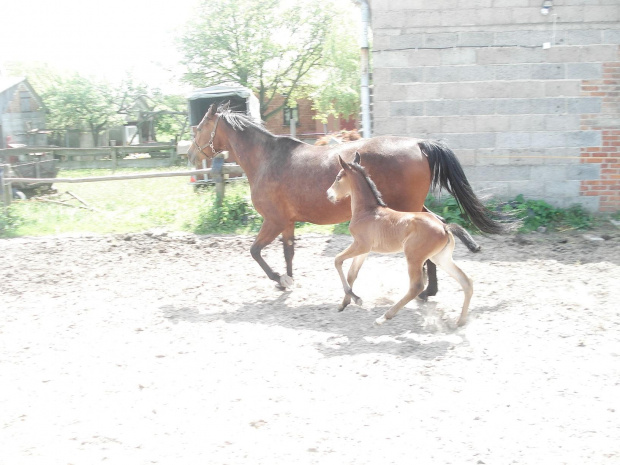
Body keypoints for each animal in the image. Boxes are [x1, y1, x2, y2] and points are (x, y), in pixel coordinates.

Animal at [186, 103, 502, 294]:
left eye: (199, 127)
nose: (190, 154)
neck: (267, 159)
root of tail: (419, 144)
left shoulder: (272, 220)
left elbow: (254, 251)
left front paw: (280, 279)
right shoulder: (287, 221)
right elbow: (288, 252)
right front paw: (287, 280)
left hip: (407, 209)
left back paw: (426, 290)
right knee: (439, 226)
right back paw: (430, 290)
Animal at [326, 152, 472, 326]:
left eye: (338, 177)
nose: (328, 194)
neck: (368, 211)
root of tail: (444, 227)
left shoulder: (360, 245)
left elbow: (337, 260)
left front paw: (356, 299)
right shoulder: (364, 250)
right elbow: (352, 274)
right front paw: (344, 303)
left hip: (414, 257)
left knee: (416, 287)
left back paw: (384, 317)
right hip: (440, 258)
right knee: (466, 281)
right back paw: (460, 321)